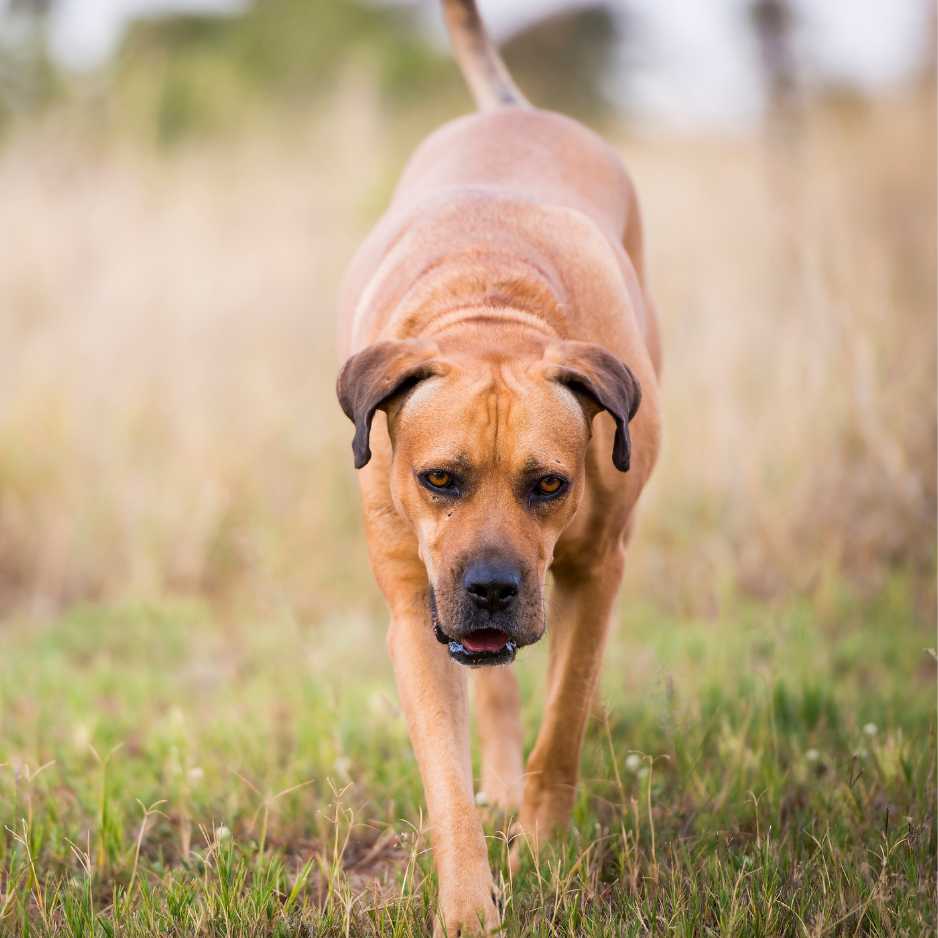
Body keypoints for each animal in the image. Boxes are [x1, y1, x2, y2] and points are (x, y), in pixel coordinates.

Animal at [334, 3, 660, 932]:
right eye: (438, 479)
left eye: (550, 484)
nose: (490, 588)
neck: (491, 309)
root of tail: (516, 109)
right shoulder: (415, 613)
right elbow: (445, 777)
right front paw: (468, 902)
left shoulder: (598, 569)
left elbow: (567, 719)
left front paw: (542, 850)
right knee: (495, 692)